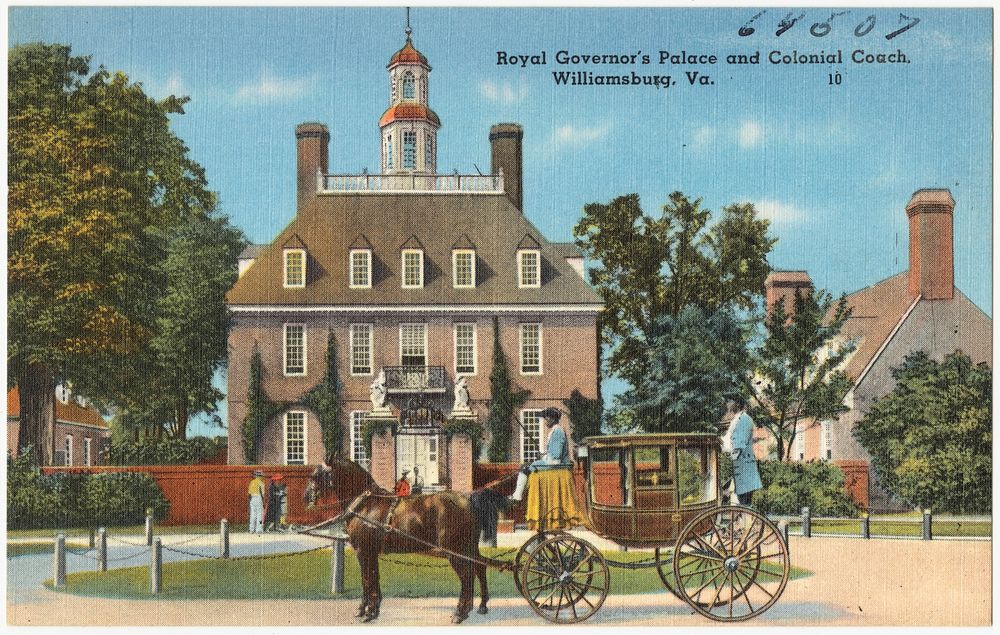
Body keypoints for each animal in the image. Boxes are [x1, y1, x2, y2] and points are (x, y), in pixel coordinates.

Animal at [302, 458, 508, 628]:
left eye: (317, 474)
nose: (306, 496)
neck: (366, 505)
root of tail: (468, 499)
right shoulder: (371, 552)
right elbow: (373, 578)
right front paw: (370, 609)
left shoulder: (363, 551)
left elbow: (366, 579)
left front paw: (367, 612)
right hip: (467, 548)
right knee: (479, 568)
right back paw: (480, 606)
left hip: (454, 550)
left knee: (466, 577)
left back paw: (460, 613)